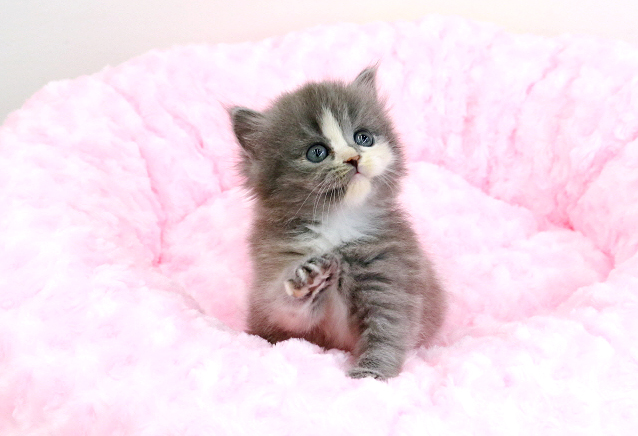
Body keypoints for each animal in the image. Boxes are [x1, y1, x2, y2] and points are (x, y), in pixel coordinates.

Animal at [230, 67, 446, 380]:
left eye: (363, 138)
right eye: (316, 152)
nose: (353, 157)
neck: (338, 222)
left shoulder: (390, 275)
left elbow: (388, 331)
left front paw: (371, 375)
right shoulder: (275, 271)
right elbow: (286, 310)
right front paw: (310, 279)